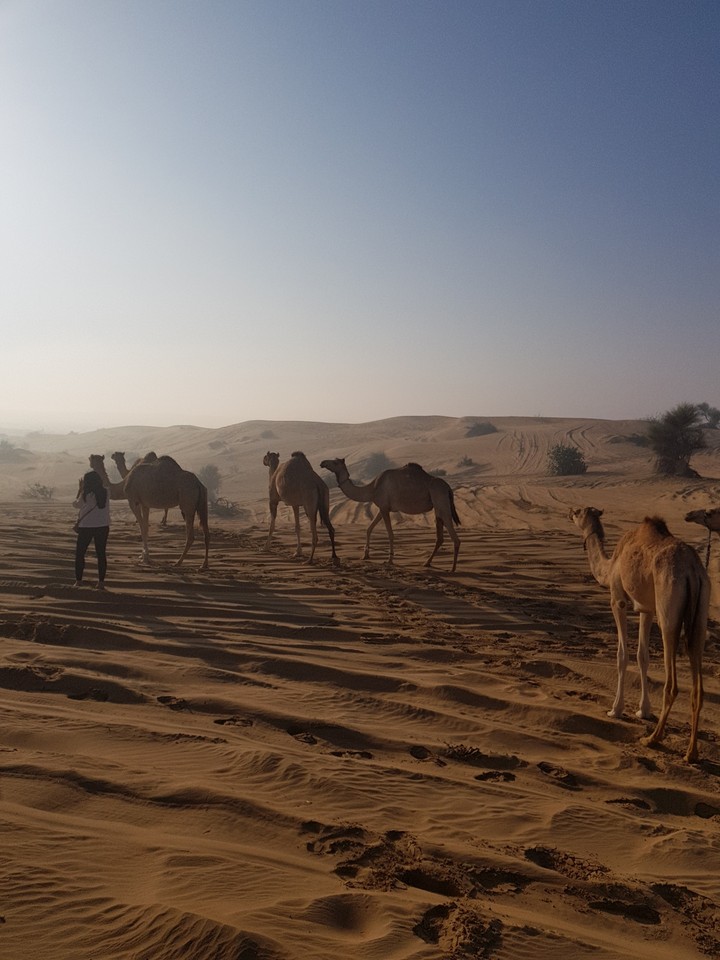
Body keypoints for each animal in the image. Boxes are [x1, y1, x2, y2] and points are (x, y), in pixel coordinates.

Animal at [319, 457, 460, 572]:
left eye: (335, 462)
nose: (322, 462)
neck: (372, 488)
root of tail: (448, 488)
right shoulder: (383, 507)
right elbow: (369, 528)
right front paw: (365, 555)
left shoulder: (384, 508)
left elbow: (390, 534)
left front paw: (390, 560)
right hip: (438, 507)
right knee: (440, 536)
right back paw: (427, 563)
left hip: (441, 501)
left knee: (454, 537)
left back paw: (452, 569)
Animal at [569, 506, 709, 762]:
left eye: (579, 512)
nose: (569, 512)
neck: (610, 565)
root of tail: (692, 571)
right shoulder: (647, 608)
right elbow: (642, 656)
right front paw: (643, 710)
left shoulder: (618, 599)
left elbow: (622, 655)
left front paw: (616, 709)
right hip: (701, 612)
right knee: (697, 681)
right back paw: (691, 753)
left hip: (668, 610)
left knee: (672, 684)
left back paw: (652, 739)